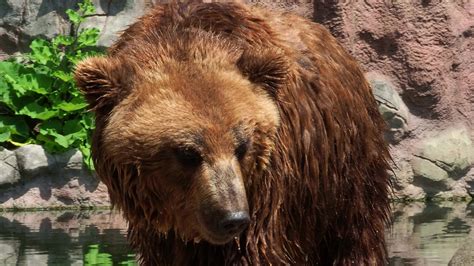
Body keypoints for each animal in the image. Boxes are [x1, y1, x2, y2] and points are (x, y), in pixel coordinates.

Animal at [75, 1, 392, 264]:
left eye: (242, 146)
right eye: (187, 153)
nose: (233, 218)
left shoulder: (269, 189)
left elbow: (254, 250)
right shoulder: (158, 229)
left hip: (343, 177)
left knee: (355, 236)